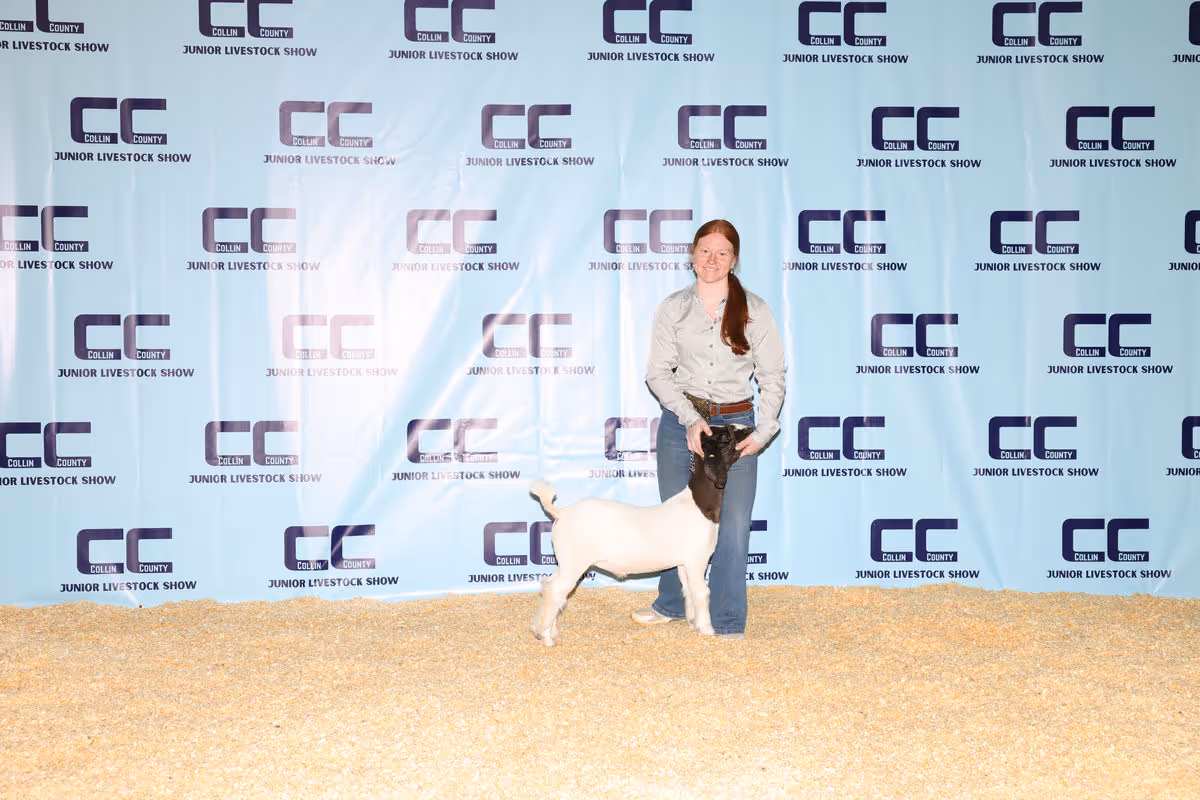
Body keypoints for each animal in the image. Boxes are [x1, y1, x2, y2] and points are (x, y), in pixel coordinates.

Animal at [527, 424, 753, 646]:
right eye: (724, 437)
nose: (749, 429)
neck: (698, 504)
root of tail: (562, 512)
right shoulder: (697, 559)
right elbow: (702, 592)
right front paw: (707, 630)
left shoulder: (683, 563)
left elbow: (687, 590)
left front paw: (692, 622)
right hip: (575, 563)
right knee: (556, 591)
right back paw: (545, 637)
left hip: (565, 562)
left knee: (550, 585)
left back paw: (549, 631)